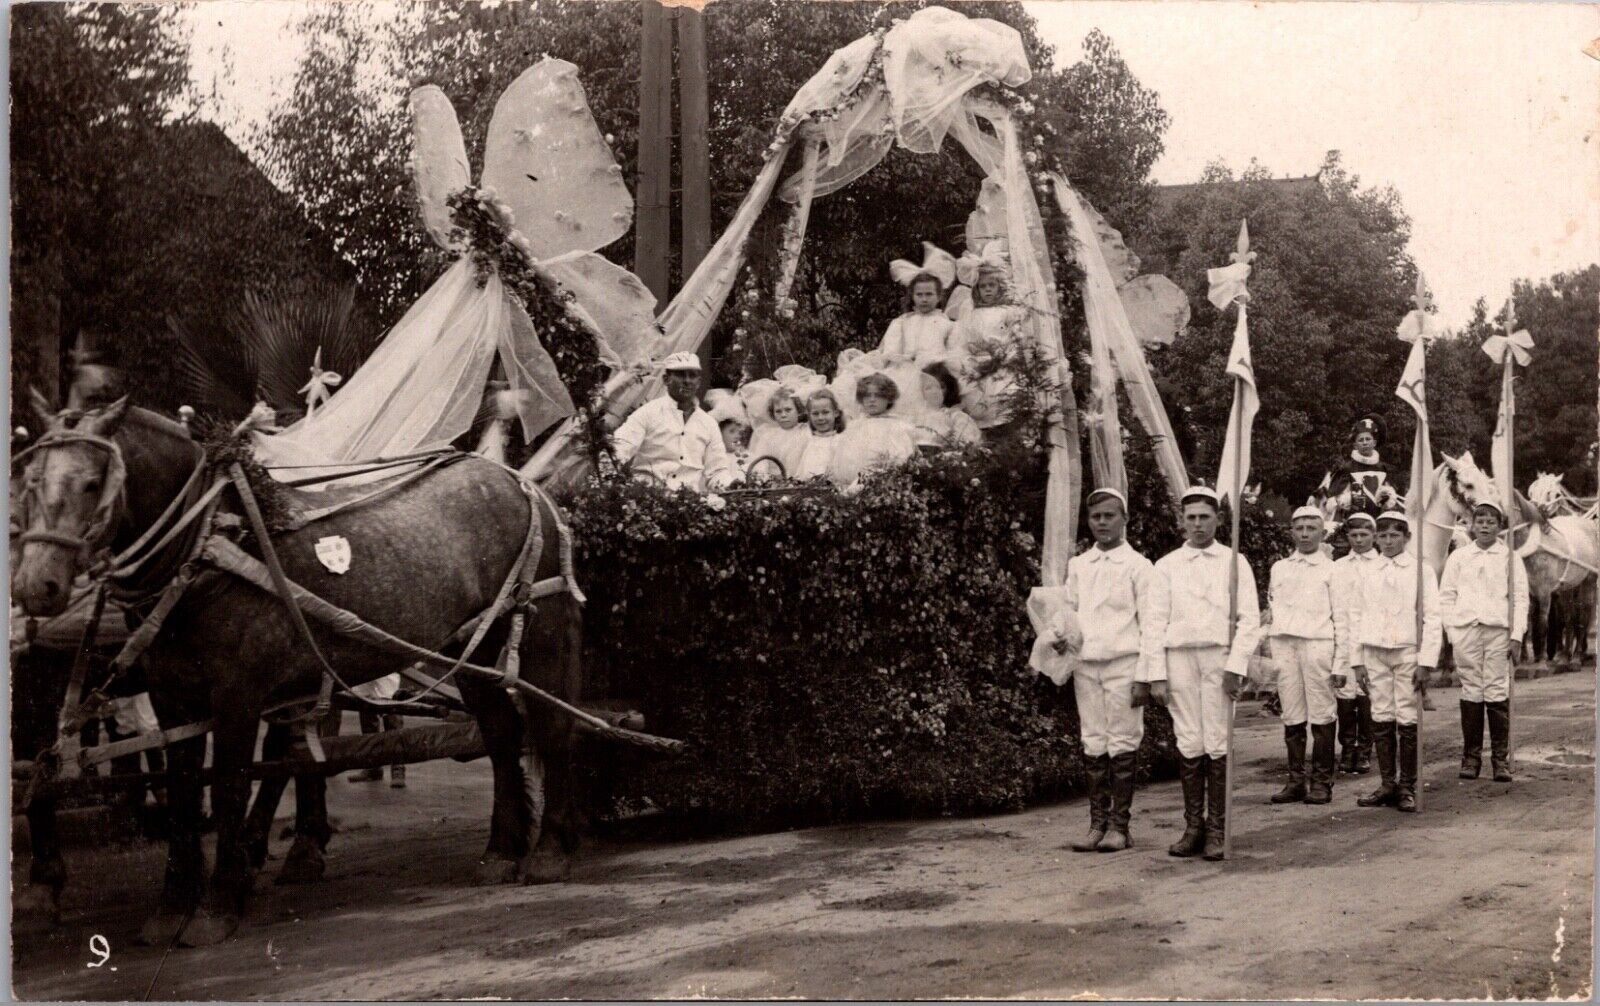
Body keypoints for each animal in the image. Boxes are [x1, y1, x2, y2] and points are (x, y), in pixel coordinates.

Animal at [15, 396, 585, 946]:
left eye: (92, 483)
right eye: (32, 481)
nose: (34, 587)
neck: (210, 545)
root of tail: (521, 483)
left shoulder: (237, 697)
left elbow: (229, 787)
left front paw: (217, 909)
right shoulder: (172, 698)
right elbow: (182, 794)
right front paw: (171, 909)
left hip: (539, 630)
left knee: (555, 726)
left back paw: (549, 851)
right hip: (471, 646)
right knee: (502, 733)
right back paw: (501, 852)